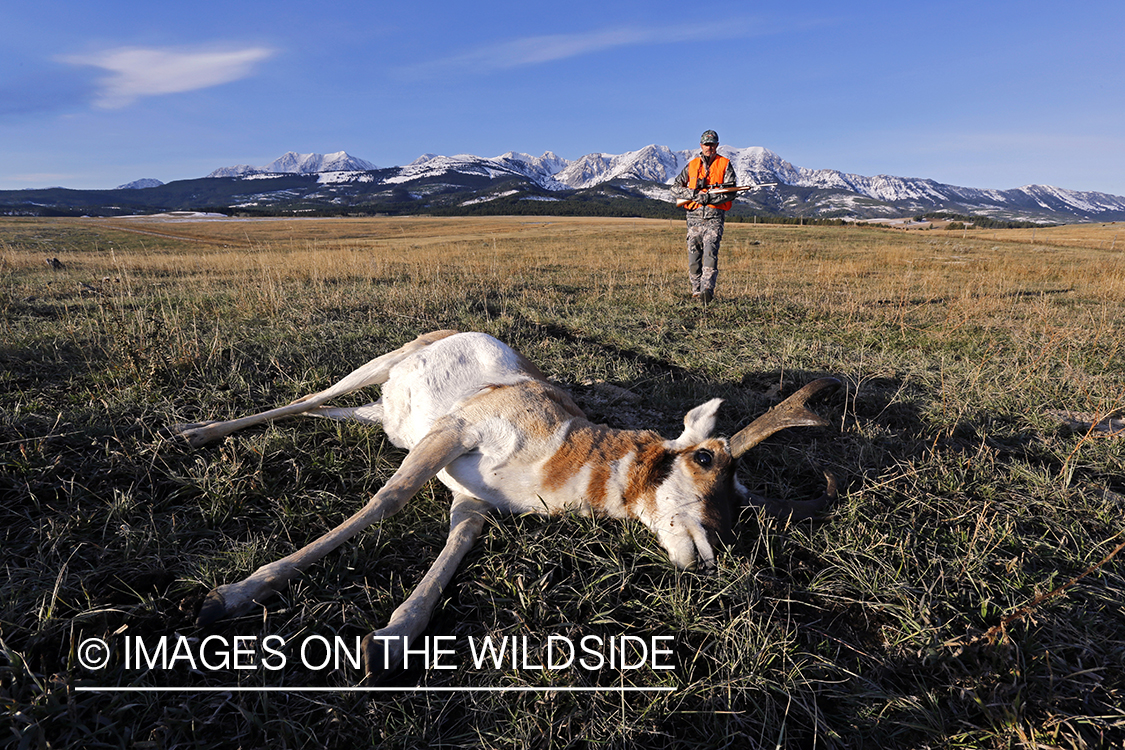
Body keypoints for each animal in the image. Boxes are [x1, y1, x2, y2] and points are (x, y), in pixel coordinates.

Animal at [175, 330, 841, 670]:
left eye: (744, 498)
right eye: (707, 460)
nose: (718, 547)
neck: (567, 449)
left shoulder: (472, 502)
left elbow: (452, 551)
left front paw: (391, 639)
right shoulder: (454, 433)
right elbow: (389, 499)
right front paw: (235, 595)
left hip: (386, 419)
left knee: (326, 412)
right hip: (379, 371)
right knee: (309, 398)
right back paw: (194, 434)